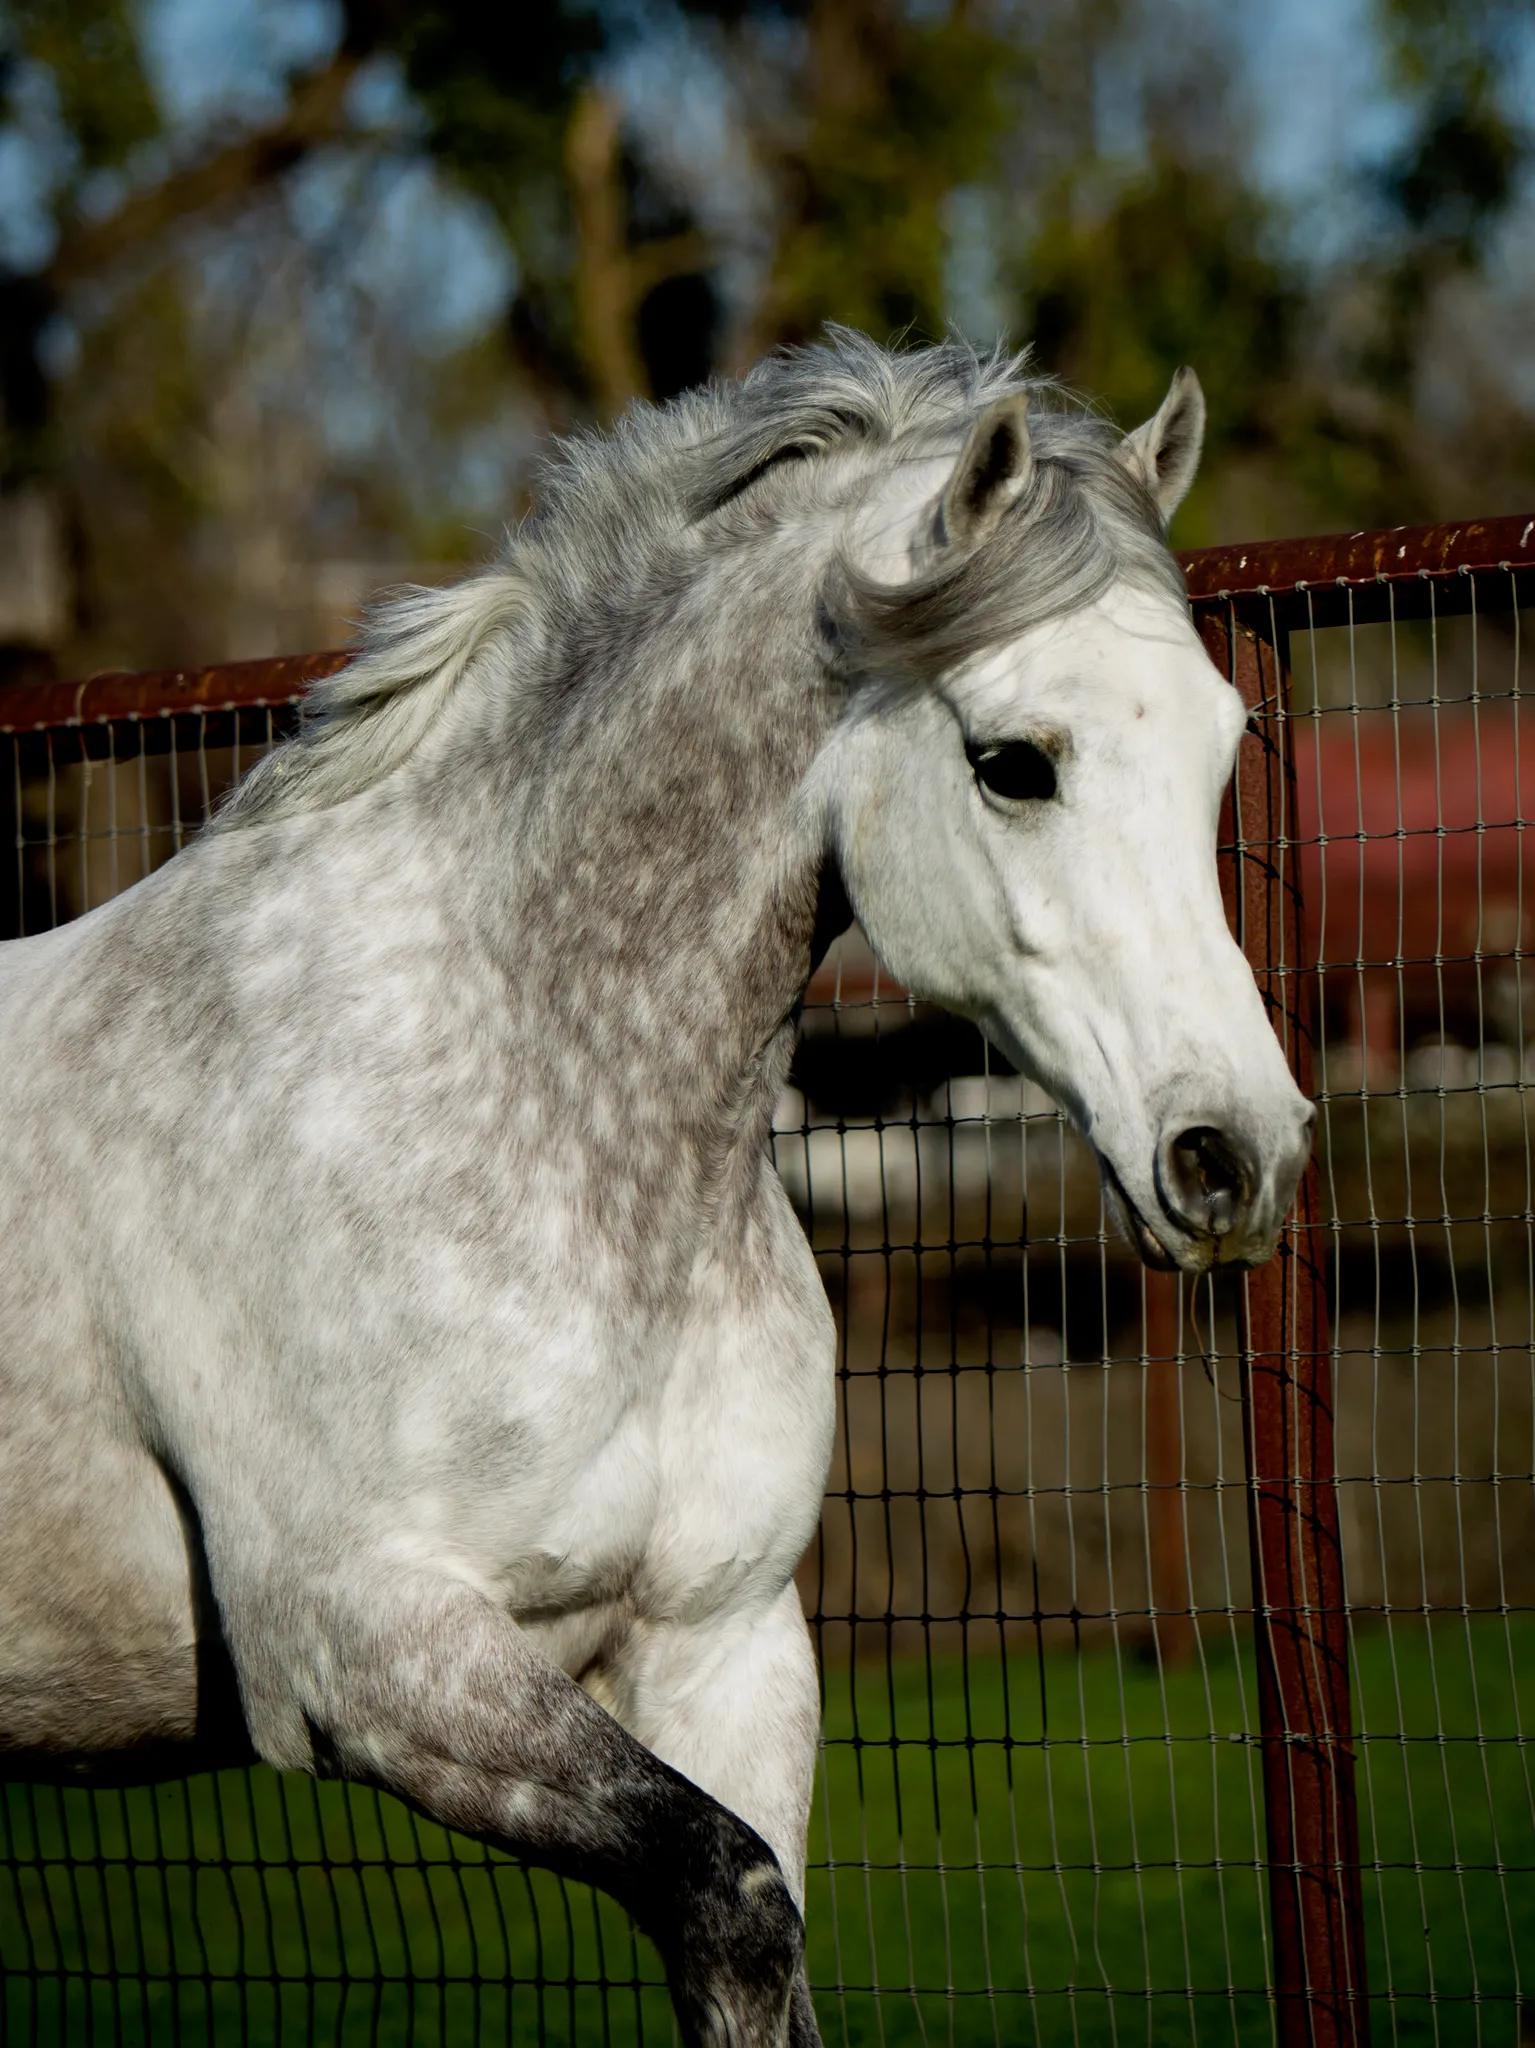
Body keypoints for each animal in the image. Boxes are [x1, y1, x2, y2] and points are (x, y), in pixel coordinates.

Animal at [0, 331, 1313, 2046]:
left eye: (1219, 749)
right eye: (1011, 764)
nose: (1236, 1157)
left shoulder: (723, 1647)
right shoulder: (373, 1655)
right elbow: (733, 1892)